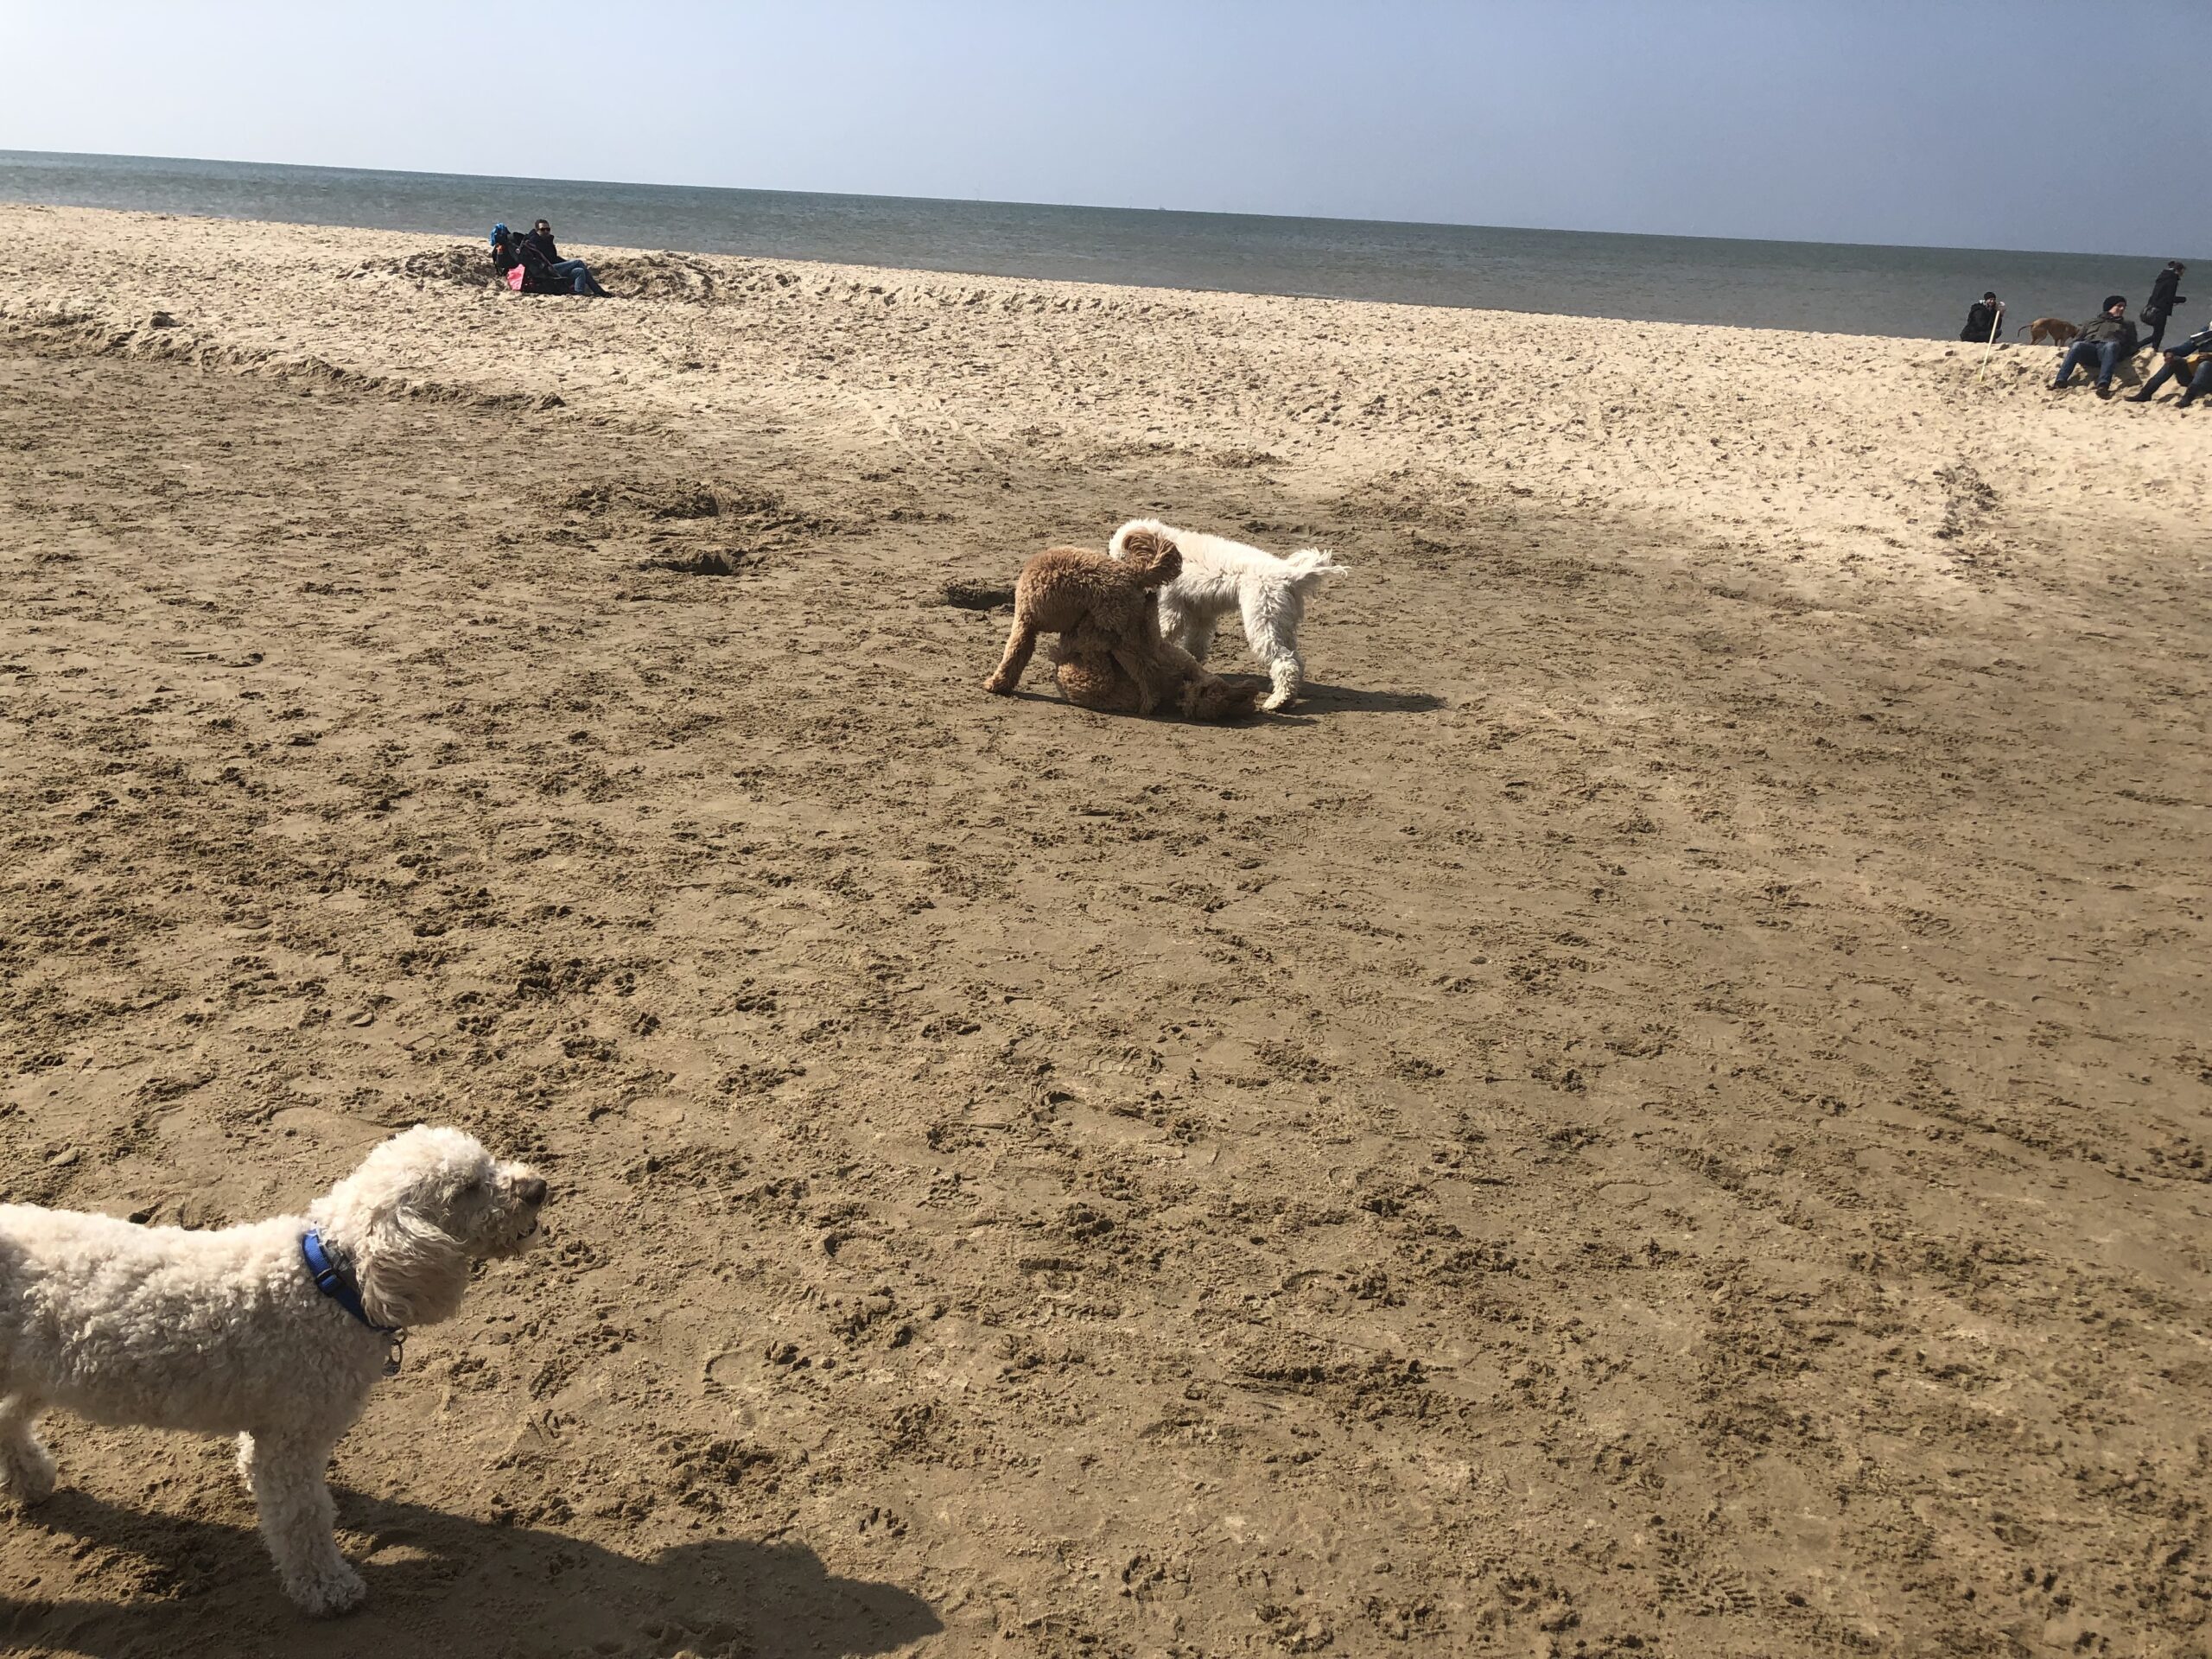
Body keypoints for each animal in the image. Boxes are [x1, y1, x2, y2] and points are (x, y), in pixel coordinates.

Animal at [0, 1125, 547, 1616]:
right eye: (466, 1188)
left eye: (486, 1163)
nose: (539, 1188)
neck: (330, 1280)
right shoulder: (292, 1436)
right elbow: (302, 1517)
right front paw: (328, 1589)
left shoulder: (273, 1423)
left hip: (32, 1370)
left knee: (8, 1419)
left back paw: (31, 1480)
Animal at [983, 530, 1181, 709]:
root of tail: (1133, 572)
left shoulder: (1024, 624)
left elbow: (1013, 656)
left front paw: (996, 684)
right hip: (1129, 629)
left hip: (1120, 636)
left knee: (1145, 669)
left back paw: (1148, 704)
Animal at [1108, 519, 1345, 711]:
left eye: (1120, 558)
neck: (1167, 544)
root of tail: (1291, 575)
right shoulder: (1201, 614)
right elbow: (1195, 646)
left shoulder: (1172, 607)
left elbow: (1163, 634)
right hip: (1282, 622)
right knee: (1296, 659)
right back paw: (1283, 693)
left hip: (1263, 621)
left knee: (1285, 661)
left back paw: (1278, 702)